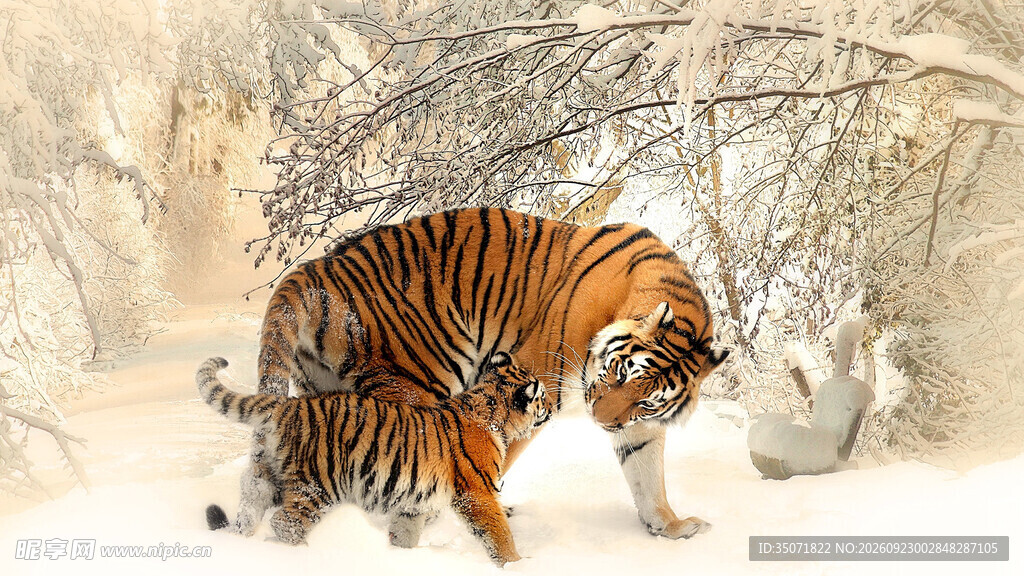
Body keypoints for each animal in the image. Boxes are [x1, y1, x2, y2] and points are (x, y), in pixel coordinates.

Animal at [198, 352, 549, 565]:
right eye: (542, 396)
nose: (550, 407)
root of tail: (289, 405)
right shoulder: (477, 493)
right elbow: (498, 533)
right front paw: (516, 564)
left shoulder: (414, 501)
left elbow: (406, 531)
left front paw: (400, 557)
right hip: (317, 485)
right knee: (285, 522)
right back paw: (304, 555)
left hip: (267, 477)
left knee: (250, 508)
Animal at [242, 207, 728, 543]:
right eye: (621, 373)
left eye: (646, 400)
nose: (601, 421)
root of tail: (314, 269)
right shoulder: (533, 384)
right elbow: (493, 456)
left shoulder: (638, 425)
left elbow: (648, 475)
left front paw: (671, 526)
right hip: (415, 383)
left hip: (323, 394)